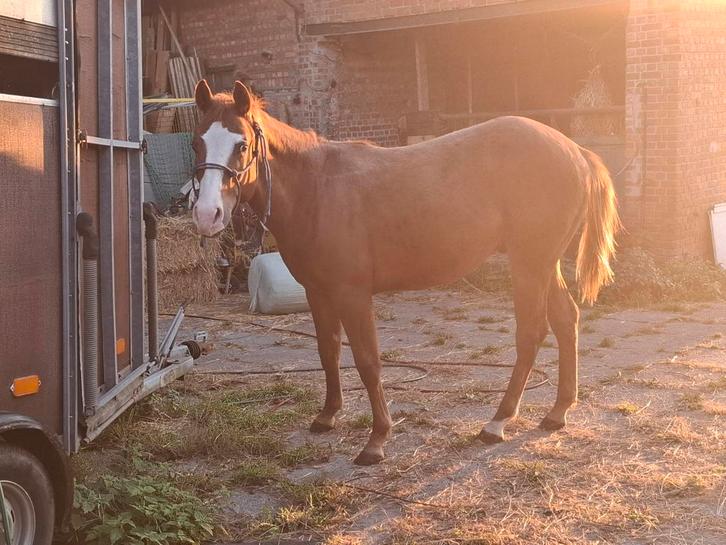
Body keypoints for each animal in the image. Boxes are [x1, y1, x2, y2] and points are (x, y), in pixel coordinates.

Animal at [190, 79, 619, 465]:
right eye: (197, 142)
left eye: (241, 144)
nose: (207, 215)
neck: (318, 189)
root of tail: (575, 150)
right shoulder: (318, 292)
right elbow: (328, 350)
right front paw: (328, 416)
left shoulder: (352, 294)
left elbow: (368, 361)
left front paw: (377, 440)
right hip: (544, 265)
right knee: (566, 320)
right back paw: (557, 413)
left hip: (530, 264)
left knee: (531, 334)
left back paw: (497, 423)